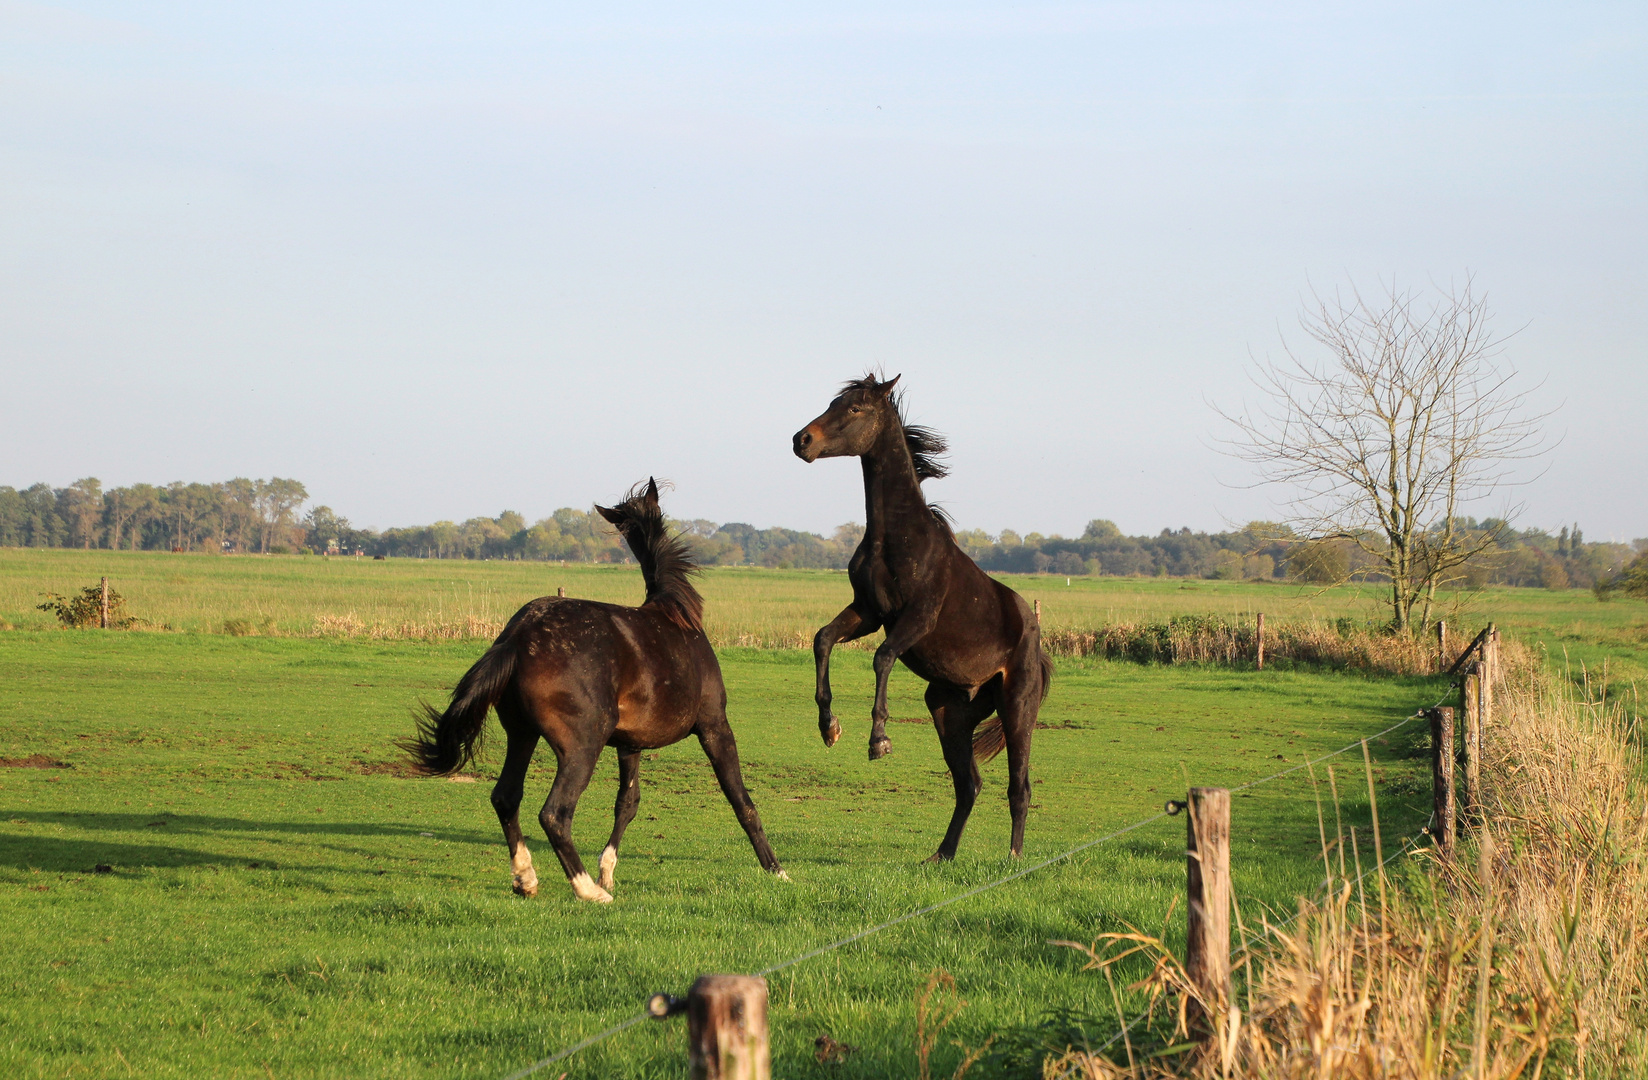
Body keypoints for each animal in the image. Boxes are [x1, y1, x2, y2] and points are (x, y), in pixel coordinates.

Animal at [402, 481, 781, 903]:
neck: (676, 615)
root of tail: (517, 637)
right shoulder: (715, 726)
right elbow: (740, 799)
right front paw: (776, 870)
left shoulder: (630, 745)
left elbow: (627, 804)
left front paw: (608, 871)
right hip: (583, 745)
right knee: (554, 813)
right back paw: (588, 890)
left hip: (523, 735)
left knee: (506, 797)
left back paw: (527, 879)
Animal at [787, 374, 1048, 864]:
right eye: (834, 403)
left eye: (855, 408)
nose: (801, 440)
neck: (896, 537)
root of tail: (1036, 637)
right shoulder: (868, 611)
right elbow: (822, 639)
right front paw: (829, 726)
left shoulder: (917, 618)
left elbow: (882, 659)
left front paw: (879, 740)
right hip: (949, 710)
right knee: (969, 785)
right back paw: (941, 856)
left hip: (1017, 706)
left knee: (1018, 787)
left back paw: (1013, 858)